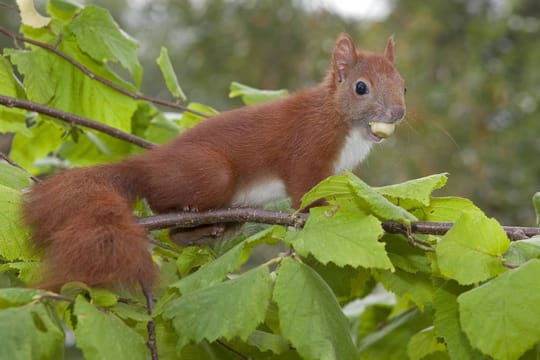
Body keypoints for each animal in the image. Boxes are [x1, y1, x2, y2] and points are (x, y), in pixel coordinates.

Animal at [23, 33, 408, 292]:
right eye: (361, 87)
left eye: (403, 85)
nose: (398, 113)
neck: (341, 120)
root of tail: (149, 163)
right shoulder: (305, 149)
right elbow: (303, 189)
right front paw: (319, 212)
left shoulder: (336, 171)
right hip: (212, 175)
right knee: (166, 214)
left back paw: (212, 230)